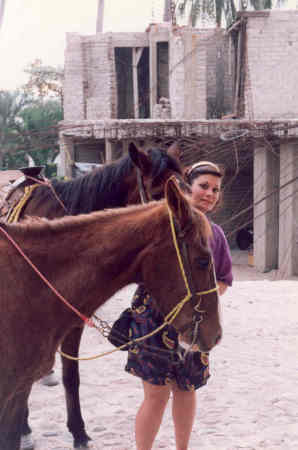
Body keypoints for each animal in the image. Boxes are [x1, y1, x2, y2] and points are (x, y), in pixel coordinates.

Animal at [14, 142, 184, 446]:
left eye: (186, 182)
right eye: (158, 192)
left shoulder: (72, 320)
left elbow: (71, 375)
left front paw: (78, 432)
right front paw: (23, 429)